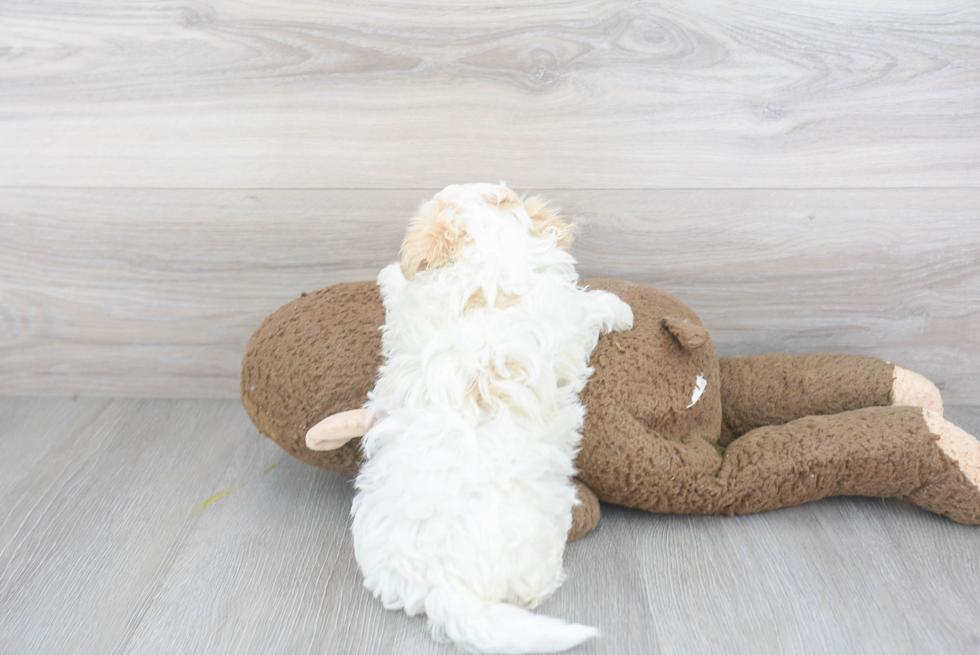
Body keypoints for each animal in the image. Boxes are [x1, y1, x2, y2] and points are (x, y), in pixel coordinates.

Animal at [352, 182, 636, 652]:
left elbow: (401, 291)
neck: (487, 260)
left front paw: (390, 274)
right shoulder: (565, 318)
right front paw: (618, 307)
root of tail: (442, 583)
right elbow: (588, 307)